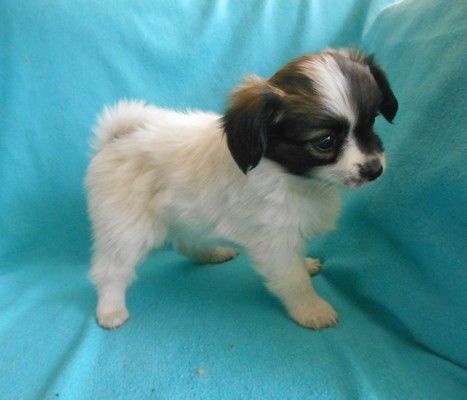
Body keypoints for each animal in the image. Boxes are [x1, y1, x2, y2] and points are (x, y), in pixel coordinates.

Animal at [86, 48, 398, 329]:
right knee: (110, 270)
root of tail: (117, 138)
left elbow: (297, 263)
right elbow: (293, 279)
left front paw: (306, 266)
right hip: (126, 228)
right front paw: (312, 309)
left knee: (185, 242)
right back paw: (111, 309)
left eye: (371, 122)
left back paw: (212, 254)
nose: (374, 170)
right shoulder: (275, 239)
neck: (291, 175)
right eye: (325, 142)